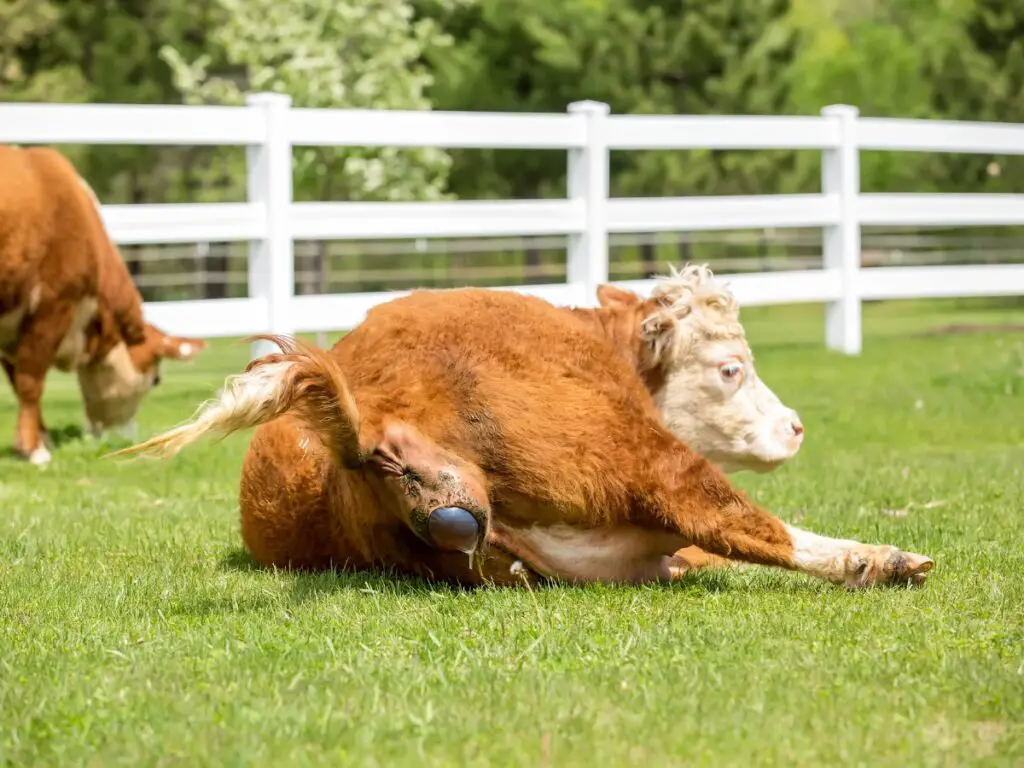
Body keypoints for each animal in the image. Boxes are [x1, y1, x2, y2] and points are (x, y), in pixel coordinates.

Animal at [0, 146, 207, 466]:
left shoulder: (12, 326)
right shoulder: (54, 306)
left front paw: (38, 438)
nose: (130, 435)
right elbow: (29, 382)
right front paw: (34, 450)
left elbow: (16, 380)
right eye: (156, 379)